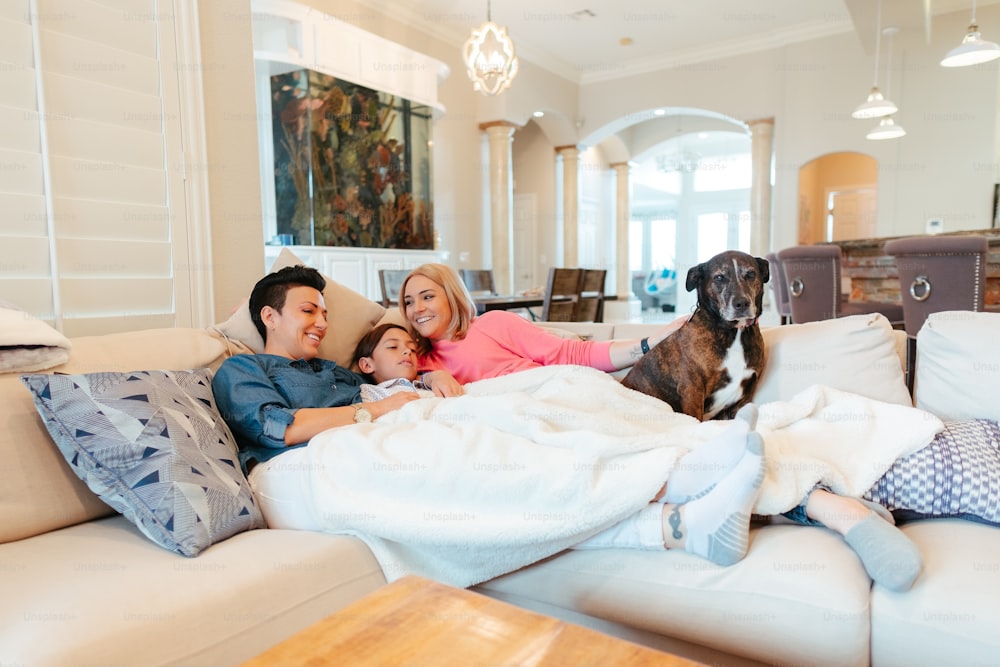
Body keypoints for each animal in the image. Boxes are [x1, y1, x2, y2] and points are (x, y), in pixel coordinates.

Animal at [620, 250, 768, 422]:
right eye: (719, 277)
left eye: (751, 274)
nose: (742, 303)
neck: (733, 331)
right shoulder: (692, 389)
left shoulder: (746, 395)